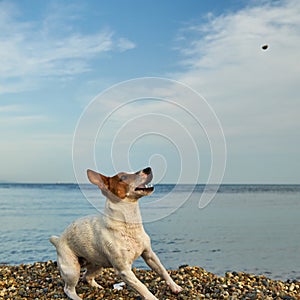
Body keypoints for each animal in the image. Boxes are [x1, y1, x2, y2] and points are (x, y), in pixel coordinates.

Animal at [49, 168, 183, 298]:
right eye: (122, 178)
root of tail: (58, 240)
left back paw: (98, 287)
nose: (148, 169)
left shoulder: (149, 254)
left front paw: (175, 287)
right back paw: (77, 296)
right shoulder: (124, 270)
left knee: (87, 277)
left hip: (97, 265)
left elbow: (163, 271)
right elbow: (142, 287)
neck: (129, 224)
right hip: (72, 270)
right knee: (68, 289)